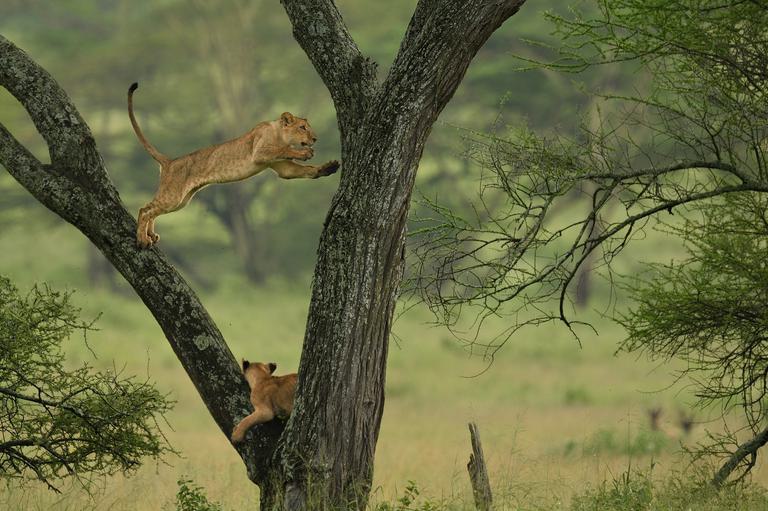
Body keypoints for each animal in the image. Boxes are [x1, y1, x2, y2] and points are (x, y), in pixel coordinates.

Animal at [127, 82, 339, 248]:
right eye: (302, 127)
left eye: (308, 127)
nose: (315, 138)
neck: (280, 134)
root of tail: (170, 161)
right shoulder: (259, 152)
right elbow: (282, 150)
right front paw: (305, 153)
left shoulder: (281, 167)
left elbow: (303, 171)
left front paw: (329, 167)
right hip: (173, 195)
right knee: (145, 209)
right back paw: (142, 240)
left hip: (181, 200)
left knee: (153, 210)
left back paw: (151, 235)